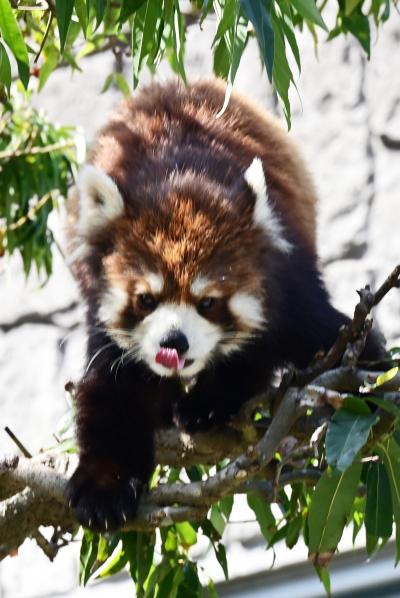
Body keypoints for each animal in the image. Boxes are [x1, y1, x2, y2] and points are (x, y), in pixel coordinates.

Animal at [65, 77, 382, 532]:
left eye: (208, 302)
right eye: (146, 299)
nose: (173, 343)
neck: (181, 180)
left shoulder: (291, 292)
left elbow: (347, 347)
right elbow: (111, 393)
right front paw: (103, 488)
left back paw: (208, 404)